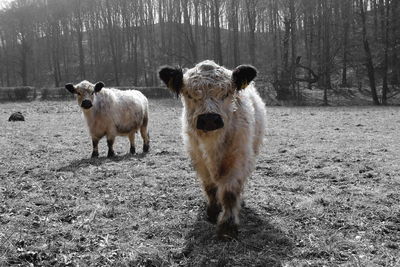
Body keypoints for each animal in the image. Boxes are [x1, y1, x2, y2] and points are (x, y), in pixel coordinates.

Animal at [159, 60, 266, 239]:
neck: (213, 147)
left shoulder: (238, 158)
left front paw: (227, 227)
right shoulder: (198, 158)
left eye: (226, 93)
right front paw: (213, 211)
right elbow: (209, 186)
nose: (209, 119)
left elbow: (229, 192)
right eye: (189, 94)